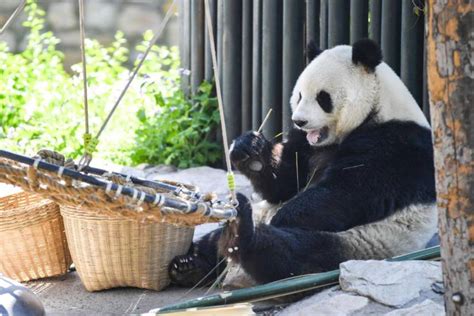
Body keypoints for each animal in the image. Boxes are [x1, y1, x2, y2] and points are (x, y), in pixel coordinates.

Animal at [168, 39, 436, 286]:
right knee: (214, 239)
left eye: (322, 97)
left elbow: (349, 190)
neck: (377, 107)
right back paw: (190, 264)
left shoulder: (396, 144)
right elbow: (285, 182)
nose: (299, 121)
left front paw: (285, 216)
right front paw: (249, 151)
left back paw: (243, 235)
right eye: (299, 96)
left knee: (298, 254)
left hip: (364, 242)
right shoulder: (307, 145)